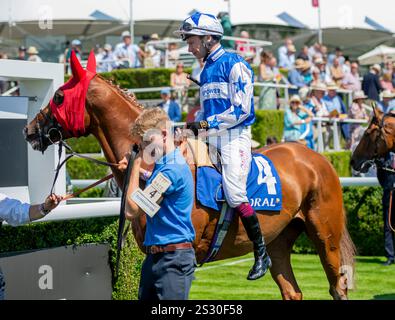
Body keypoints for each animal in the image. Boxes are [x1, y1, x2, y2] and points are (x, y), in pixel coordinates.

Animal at [26, 50, 358, 300]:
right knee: (292, 291)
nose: (29, 129)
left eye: (58, 96)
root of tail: (317, 158)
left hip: (325, 235)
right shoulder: (152, 255)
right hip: (279, 239)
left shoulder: (185, 257)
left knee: (338, 287)